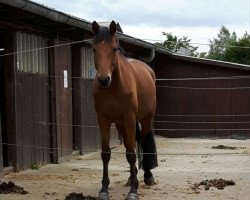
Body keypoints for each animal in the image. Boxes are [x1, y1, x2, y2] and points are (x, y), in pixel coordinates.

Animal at [92, 20, 158, 200]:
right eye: (94, 49)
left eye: (114, 48)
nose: (104, 79)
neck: (114, 88)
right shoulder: (103, 119)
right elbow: (106, 153)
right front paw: (104, 189)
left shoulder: (129, 117)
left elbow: (130, 153)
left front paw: (133, 191)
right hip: (122, 124)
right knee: (132, 144)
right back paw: (131, 178)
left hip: (145, 118)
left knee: (142, 141)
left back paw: (147, 176)